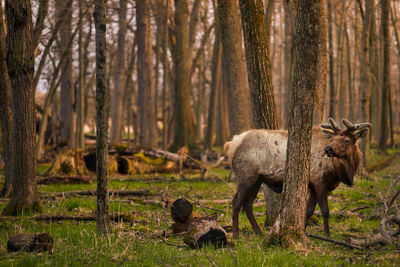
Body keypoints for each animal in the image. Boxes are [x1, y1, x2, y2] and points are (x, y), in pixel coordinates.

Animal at [225, 118, 372, 238]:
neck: (339, 170)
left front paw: (304, 231)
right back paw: (236, 235)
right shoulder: (319, 181)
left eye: (346, 140)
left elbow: (308, 211)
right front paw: (327, 234)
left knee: (247, 204)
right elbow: (325, 210)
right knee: (236, 203)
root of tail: (231, 144)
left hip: (256, 180)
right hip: (246, 176)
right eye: (332, 139)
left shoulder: (313, 186)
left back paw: (259, 233)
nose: (328, 149)